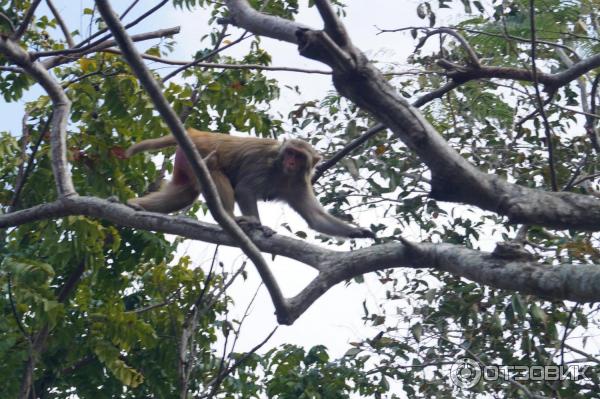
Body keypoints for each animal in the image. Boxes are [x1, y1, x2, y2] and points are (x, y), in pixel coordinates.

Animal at [126, 130, 376, 239]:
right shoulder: (261, 165)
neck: (283, 173)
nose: (290, 161)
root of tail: (194, 133)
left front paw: (358, 232)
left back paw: (135, 205)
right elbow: (245, 190)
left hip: (185, 160)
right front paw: (259, 224)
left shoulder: (299, 184)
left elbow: (316, 219)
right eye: (290, 153)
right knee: (214, 170)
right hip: (197, 152)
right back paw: (231, 219)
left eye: (299, 156)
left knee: (183, 193)